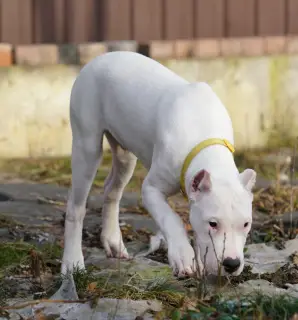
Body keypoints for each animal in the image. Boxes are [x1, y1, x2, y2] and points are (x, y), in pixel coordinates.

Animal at [60, 51, 256, 276]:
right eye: (213, 223)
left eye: (246, 224)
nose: (232, 264)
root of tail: (99, 57)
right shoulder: (151, 189)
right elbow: (171, 218)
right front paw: (182, 255)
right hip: (87, 145)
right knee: (76, 207)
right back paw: (73, 262)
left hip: (126, 154)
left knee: (112, 190)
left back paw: (113, 242)